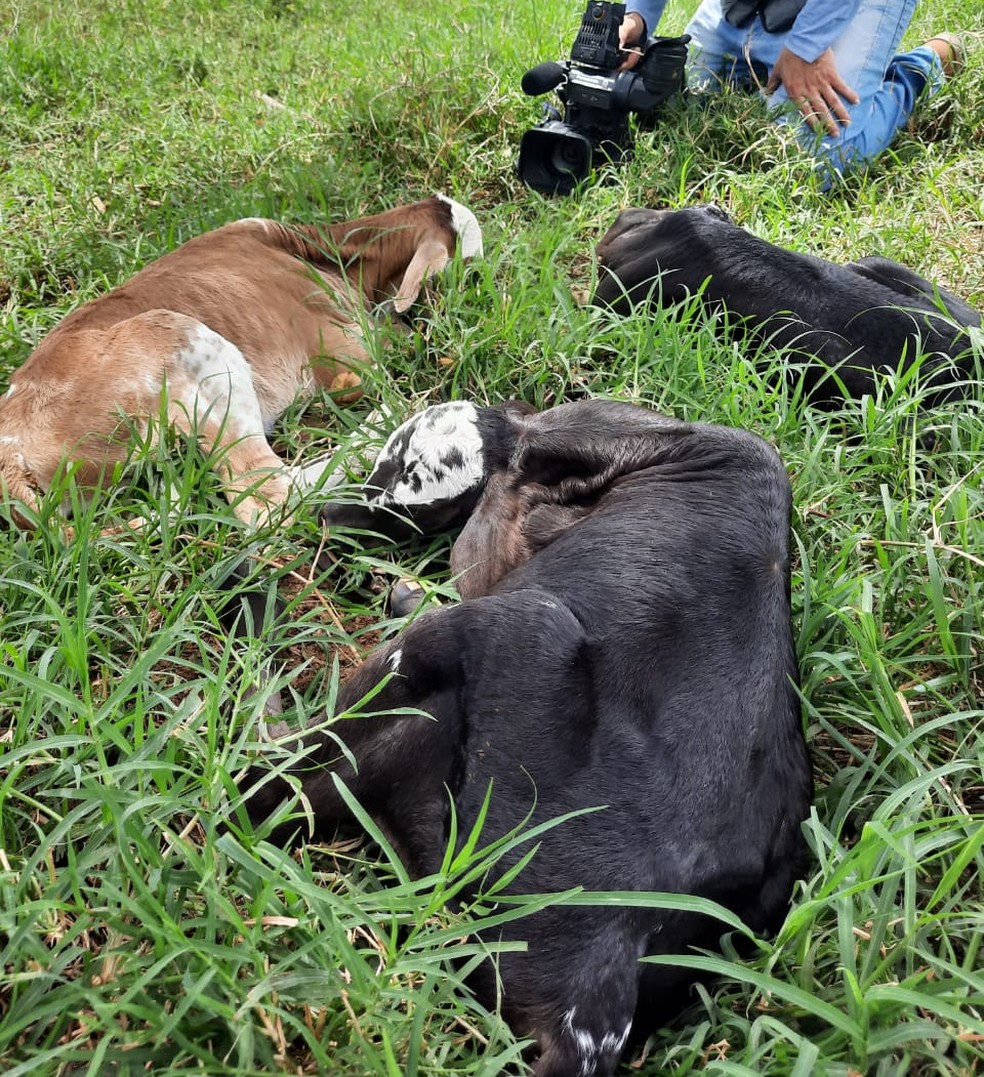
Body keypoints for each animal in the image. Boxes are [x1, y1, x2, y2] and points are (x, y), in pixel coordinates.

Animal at [233, 398, 809, 1077]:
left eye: (398, 461)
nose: (326, 517)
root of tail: (609, 964)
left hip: (505, 628)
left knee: (266, 785)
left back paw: (247, 601)